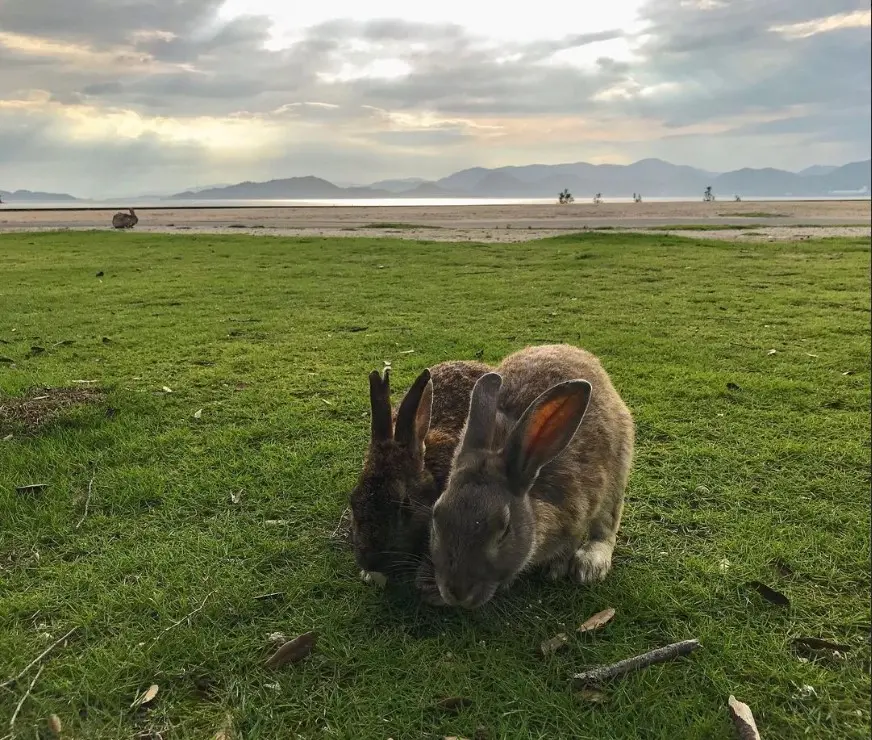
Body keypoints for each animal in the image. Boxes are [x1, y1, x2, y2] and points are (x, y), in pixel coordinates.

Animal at [428, 344, 634, 609]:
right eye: (436, 515)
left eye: (505, 530)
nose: (458, 593)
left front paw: (556, 569)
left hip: (618, 470)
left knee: (607, 526)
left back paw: (590, 565)